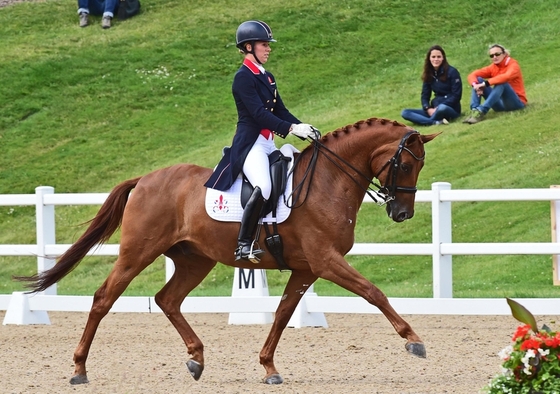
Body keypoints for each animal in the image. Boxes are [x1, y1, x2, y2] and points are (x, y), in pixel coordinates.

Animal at [17, 116, 438, 384]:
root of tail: (146, 179)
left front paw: (268, 367)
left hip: (194, 260)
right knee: (104, 298)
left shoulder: (306, 268)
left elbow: (283, 314)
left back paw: (196, 359)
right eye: (405, 164)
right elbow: (373, 292)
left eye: (419, 166)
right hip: (137, 253)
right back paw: (79, 370)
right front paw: (414, 341)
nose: (402, 213)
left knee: (168, 299)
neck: (328, 181)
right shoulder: (325, 261)